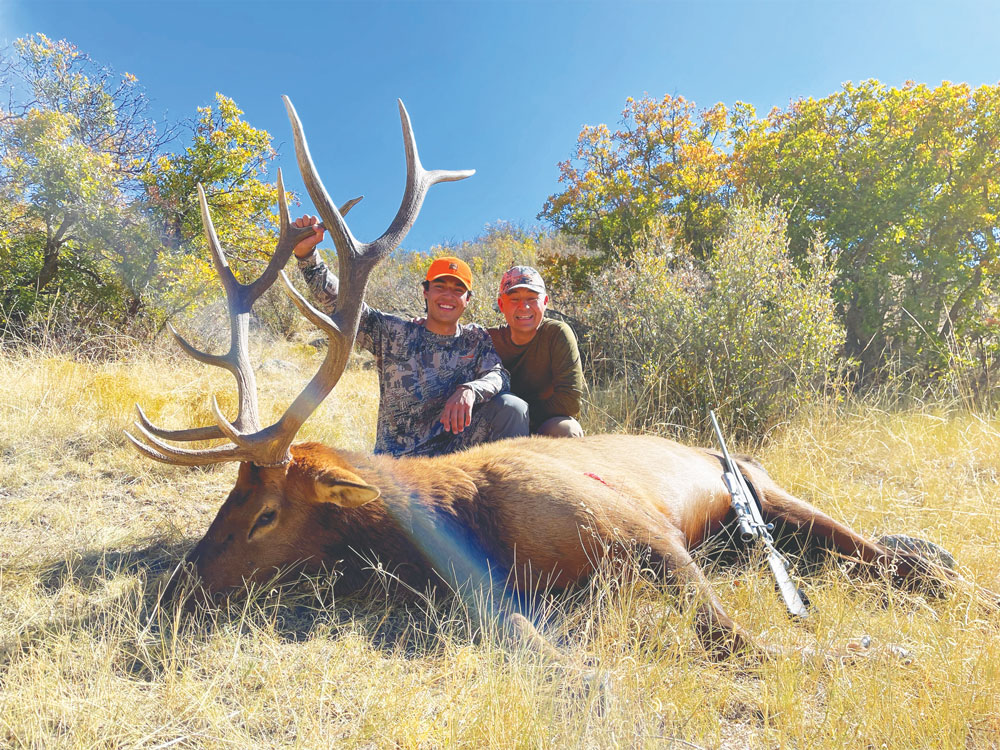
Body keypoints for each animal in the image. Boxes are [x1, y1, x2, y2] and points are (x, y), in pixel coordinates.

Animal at [125, 95, 984, 664]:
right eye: (225, 499)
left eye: (266, 513)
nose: (172, 592)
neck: (473, 528)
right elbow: (532, 640)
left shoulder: (647, 529)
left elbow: (743, 640)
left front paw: (862, 651)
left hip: (761, 482)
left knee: (885, 555)